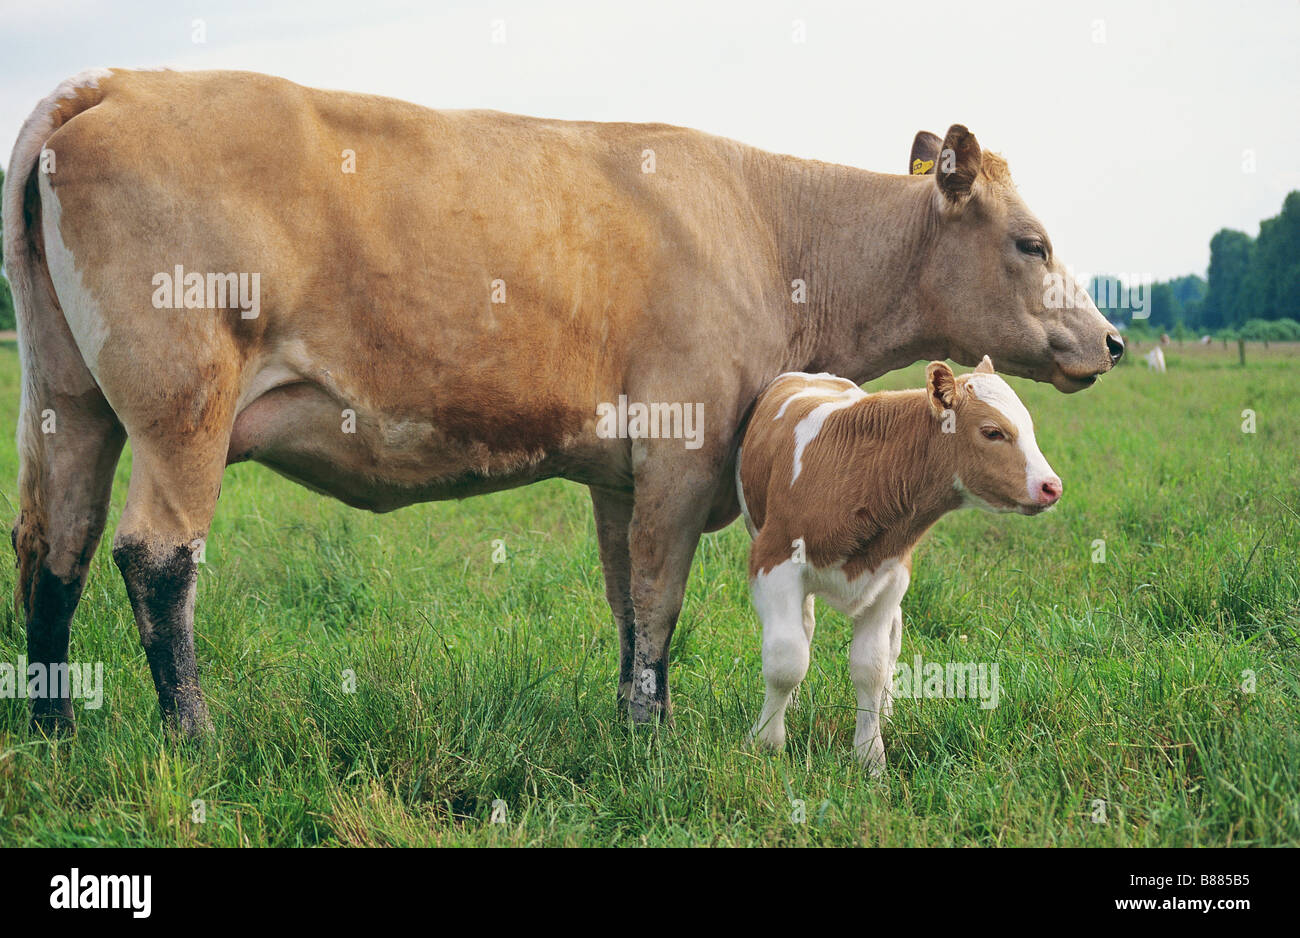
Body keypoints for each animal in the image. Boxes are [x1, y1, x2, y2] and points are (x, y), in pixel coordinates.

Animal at [736, 357, 1060, 772]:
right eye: (993, 432)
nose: (1052, 487)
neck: (859, 473)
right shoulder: (773, 560)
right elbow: (786, 659)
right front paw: (766, 741)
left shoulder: (892, 577)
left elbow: (871, 667)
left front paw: (870, 754)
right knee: (802, 629)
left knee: (891, 639)